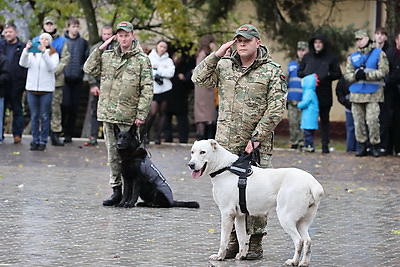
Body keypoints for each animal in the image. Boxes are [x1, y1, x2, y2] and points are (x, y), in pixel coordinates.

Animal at [188, 139, 324, 266]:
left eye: (203, 152)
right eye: (192, 152)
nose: (191, 164)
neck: (223, 167)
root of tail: (311, 182)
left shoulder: (227, 214)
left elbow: (223, 240)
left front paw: (220, 256)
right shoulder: (239, 216)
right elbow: (241, 238)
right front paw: (241, 255)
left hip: (286, 218)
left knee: (299, 241)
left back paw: (293, 261)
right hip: (302, 222)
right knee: (307, 241)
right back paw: (304, 263)